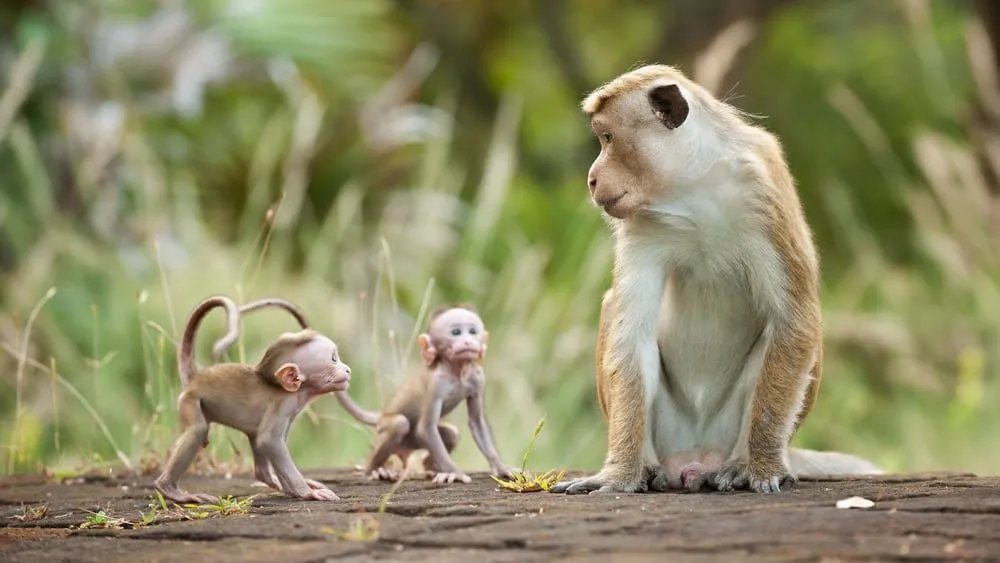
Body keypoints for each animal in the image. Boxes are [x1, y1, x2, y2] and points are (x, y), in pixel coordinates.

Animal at [153, 295, 352, 504]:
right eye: (334, 359)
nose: (347, 369)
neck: (294, 391)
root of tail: (195, 379)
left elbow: (270, 441)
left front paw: (292, 489)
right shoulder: (283, 405)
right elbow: (269, 441)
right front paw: (306, 492)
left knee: (254, 440)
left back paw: (270, 479)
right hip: (190, 401)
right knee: (198, 431)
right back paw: (170, 489)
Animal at [334, 306, 515, 485]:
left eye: (473, 331)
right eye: (456, 332)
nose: (468, 341)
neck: (456, 371)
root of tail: (383, 414)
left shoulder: (478, 377)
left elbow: (477, 422)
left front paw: (501, 468)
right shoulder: (435, 384)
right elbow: (426, 428)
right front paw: (455, 472)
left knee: (451, 433)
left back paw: (431, 467)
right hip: (386, 427)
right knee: (399, 424)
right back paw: (374, 470)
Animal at [550, 65, 882, 496]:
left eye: (607, 138)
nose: (592, 179)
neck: (693, 188)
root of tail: (695, 461)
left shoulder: (764, 190)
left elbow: (795, 319)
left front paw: (762, 466)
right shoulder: (642, 225)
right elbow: (631, 334)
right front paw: (619, 474)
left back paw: (742, 463)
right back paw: (649, 467)